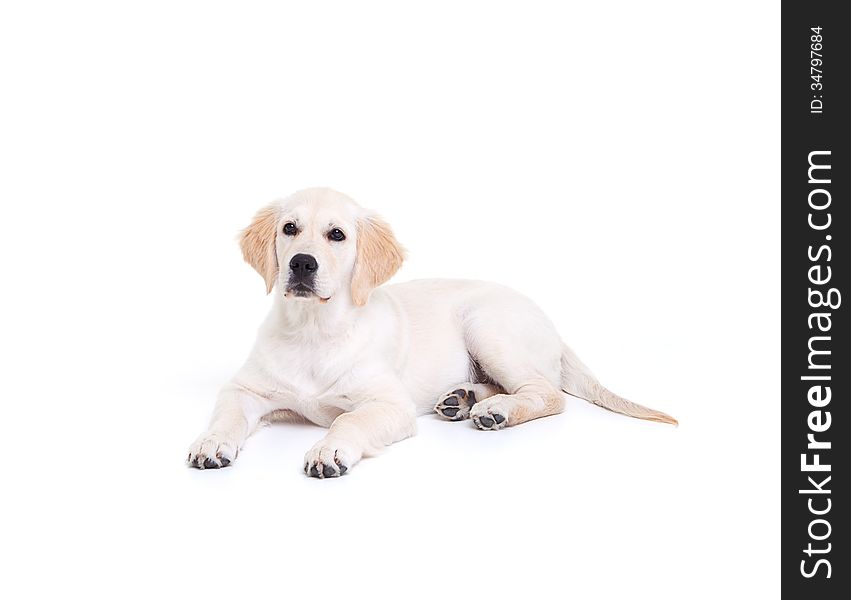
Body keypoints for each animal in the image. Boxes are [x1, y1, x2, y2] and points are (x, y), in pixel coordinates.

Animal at [188, 188, 680, 478]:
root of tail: (555, 329)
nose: (301, 264)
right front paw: (211, 442)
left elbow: (350, 418)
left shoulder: (389, 404)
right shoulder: (245, 389)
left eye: (337, 235)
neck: (314, 329)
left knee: (548, 393)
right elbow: (227, 415)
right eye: (289, 229)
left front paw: (329, 450)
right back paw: (464, 400)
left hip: (486, 324)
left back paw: (496, 410)